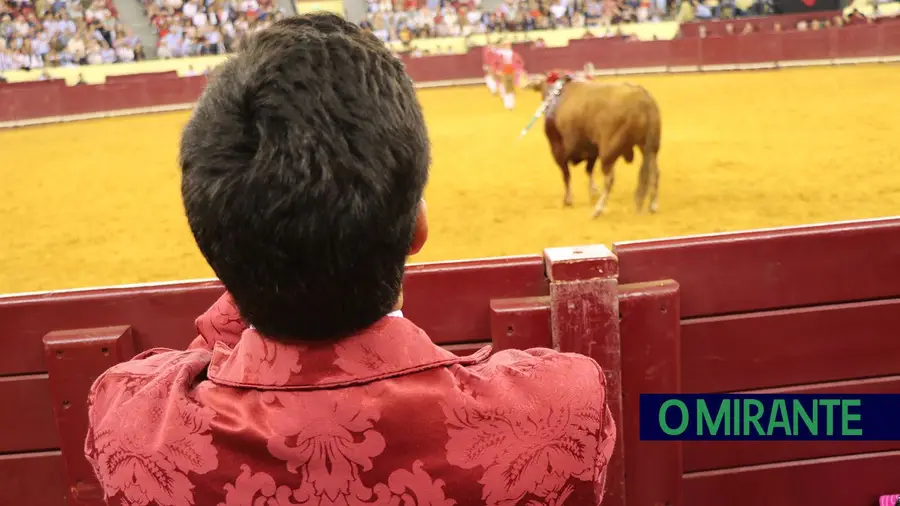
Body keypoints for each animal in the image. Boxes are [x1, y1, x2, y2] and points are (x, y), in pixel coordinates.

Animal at [528, 74, 660, 216]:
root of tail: (643, 99)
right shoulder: (592, 151)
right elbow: (588, 170)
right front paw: (592, 193)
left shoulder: (558, 151)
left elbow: (566, 175)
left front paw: (568, 200)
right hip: (651, 147)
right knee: (655, 172)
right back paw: (653, 205)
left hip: (608, 151)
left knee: (609, 179)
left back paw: (598, 209)